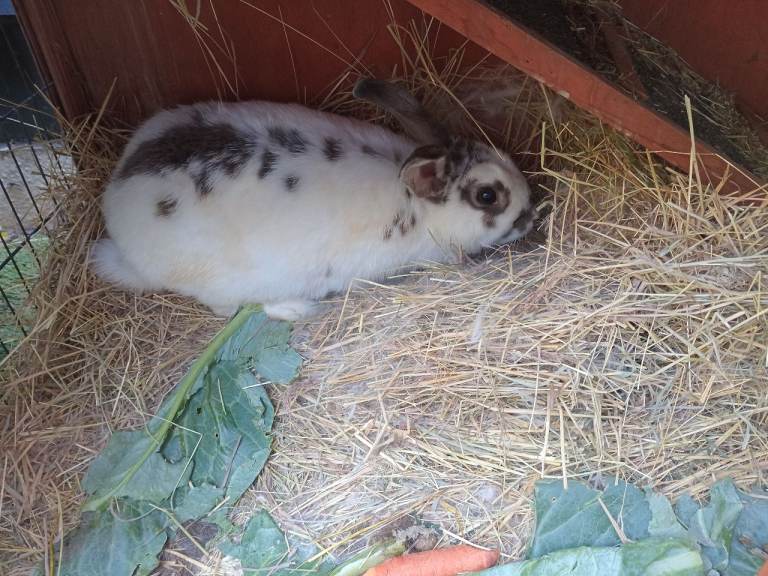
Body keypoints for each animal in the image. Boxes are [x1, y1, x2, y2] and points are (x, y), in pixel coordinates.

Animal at [91, 78, 536, 320]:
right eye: (487, 195)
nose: (531, 216)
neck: (416, 205)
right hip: (236, 282)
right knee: (233, 308)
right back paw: (298, 309)